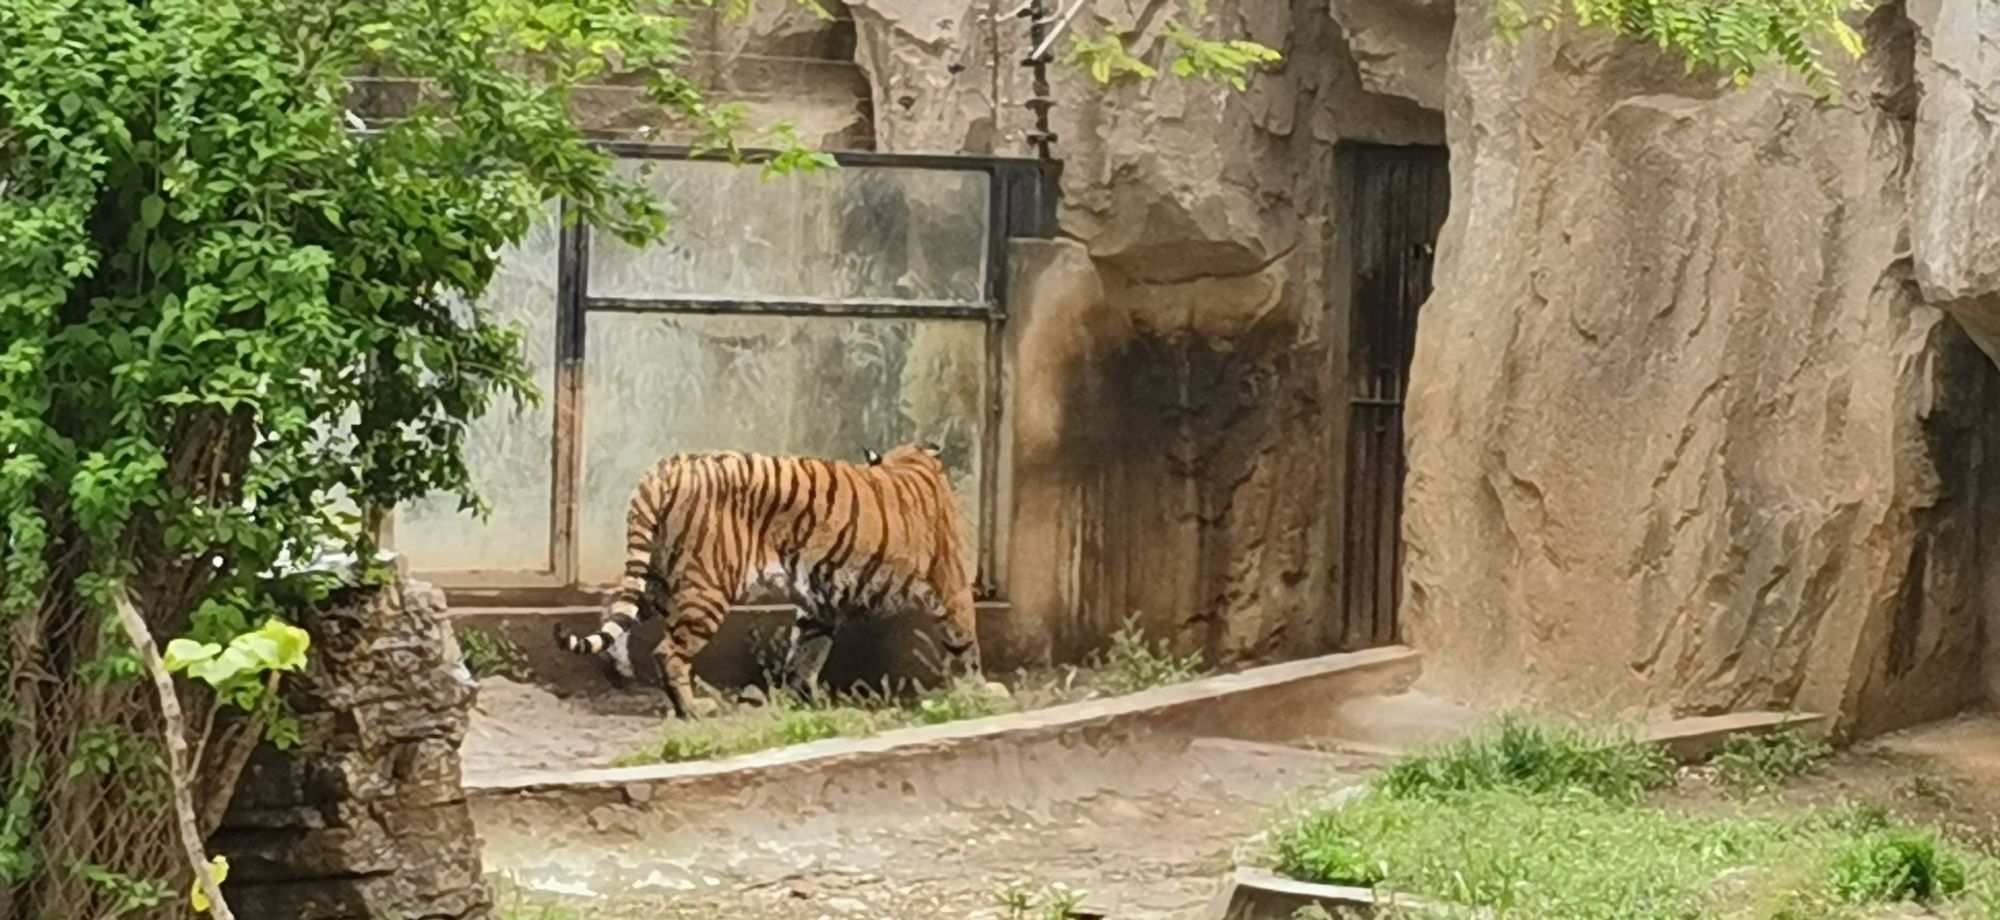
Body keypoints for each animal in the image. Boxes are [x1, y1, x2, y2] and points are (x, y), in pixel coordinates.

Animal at [556, 440, 976, 720]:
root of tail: (667, 468)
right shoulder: (954, 587)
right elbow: (966, 644)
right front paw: (980, 693)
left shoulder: (818, 607)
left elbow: (807, 652)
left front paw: (804, 700)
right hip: (707, 587)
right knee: (667, 651)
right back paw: (693, 708)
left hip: (660, 577)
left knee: (614, 604)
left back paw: (619, 670)